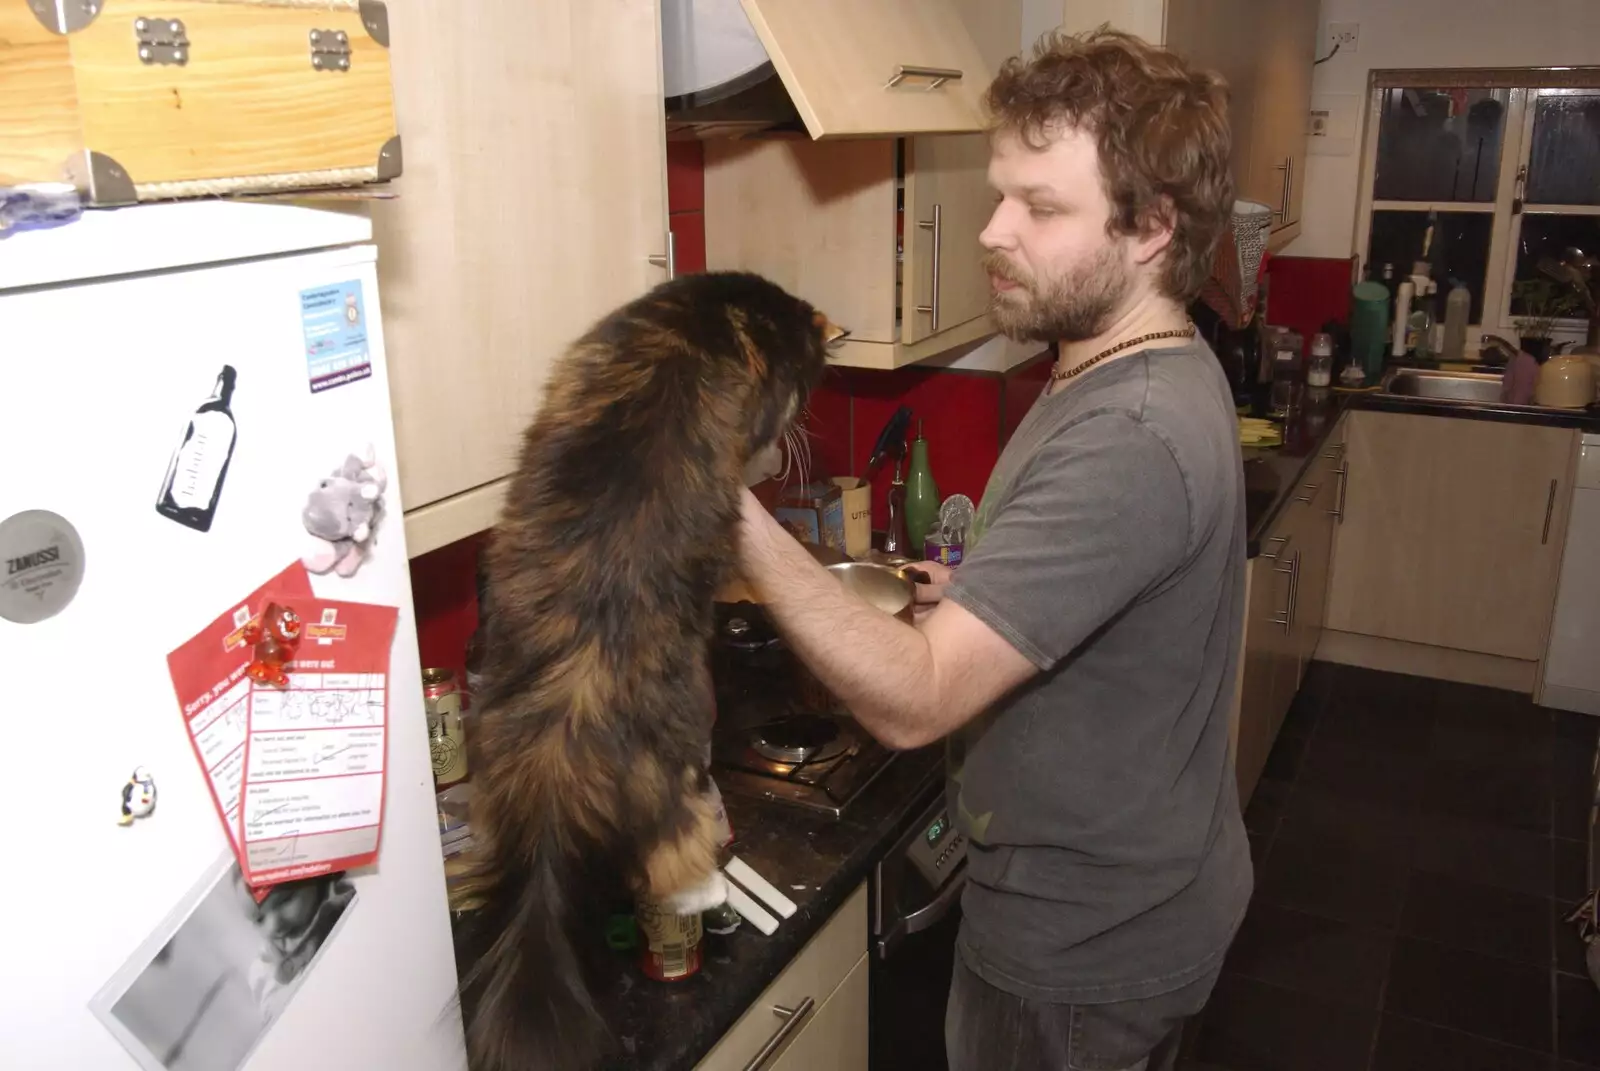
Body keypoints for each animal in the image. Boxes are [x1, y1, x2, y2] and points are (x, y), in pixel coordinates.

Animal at [448, 268, 844, 1069]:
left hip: (492, 772)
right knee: (673, 851)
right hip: (678, 753)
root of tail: (557, 757)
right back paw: (702, 894)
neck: (715, 315)